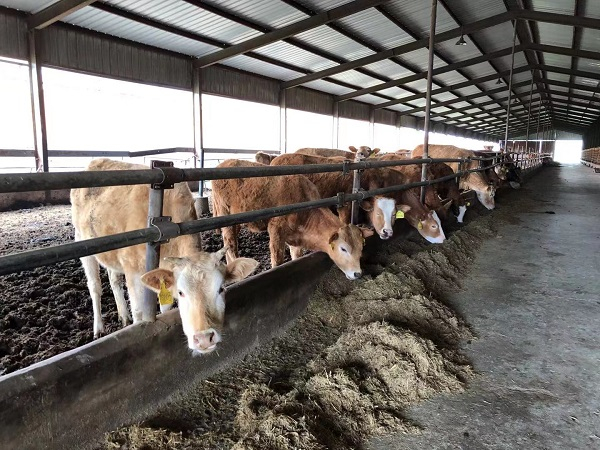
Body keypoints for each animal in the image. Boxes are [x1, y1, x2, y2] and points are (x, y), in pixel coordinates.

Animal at [71, 158, 259, 354]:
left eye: (221, 289)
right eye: (182, 292)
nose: (204, 339)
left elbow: (165, 307)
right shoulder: (132, 270)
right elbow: (138, 311)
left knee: (114, 279)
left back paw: (123, 316)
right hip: (82, 241)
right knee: (94, 287)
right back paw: (98, 328)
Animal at [211, 159, 374, 280]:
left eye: (361, 247)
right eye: (343, 248)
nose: (358, 273)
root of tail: (225, 163)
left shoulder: (296, 239)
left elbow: (296, 256)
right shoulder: (276, 230)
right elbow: (277, 260)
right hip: (224, 214)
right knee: (230, 243)